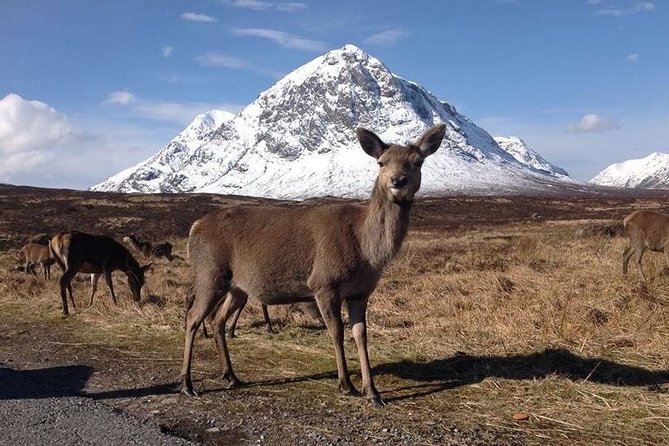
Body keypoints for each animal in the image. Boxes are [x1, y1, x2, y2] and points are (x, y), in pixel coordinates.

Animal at [180, 123, 446, 406]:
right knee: (193, 318)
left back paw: (231, 376)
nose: (398, 180)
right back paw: (187, 384)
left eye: (417, 162)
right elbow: (337, 332)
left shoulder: (361, 292)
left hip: (237, 287)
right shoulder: (323, 283)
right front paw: (346, 384)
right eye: (381, 162)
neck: (367, 252)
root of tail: (194, 227)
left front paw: (372, 392)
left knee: (217, 321)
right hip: (209, 273)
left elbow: (361, 334)